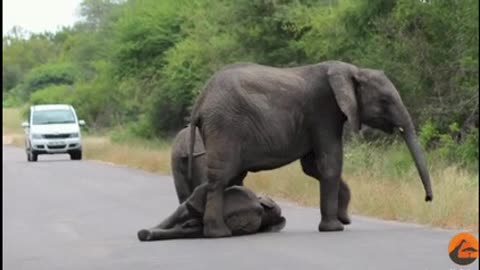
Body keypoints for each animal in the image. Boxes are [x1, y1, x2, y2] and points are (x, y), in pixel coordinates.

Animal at [188, 60, 436, 236]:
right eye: (385, 101)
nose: (428, 199)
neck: (352, 70)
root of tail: (201, 100)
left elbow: (312, 167)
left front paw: (344, 219)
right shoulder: (323, 111)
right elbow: (330, 163)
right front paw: (334, 228)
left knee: (230, 177)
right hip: (224, 126)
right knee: (221, 177)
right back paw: (218, 233)